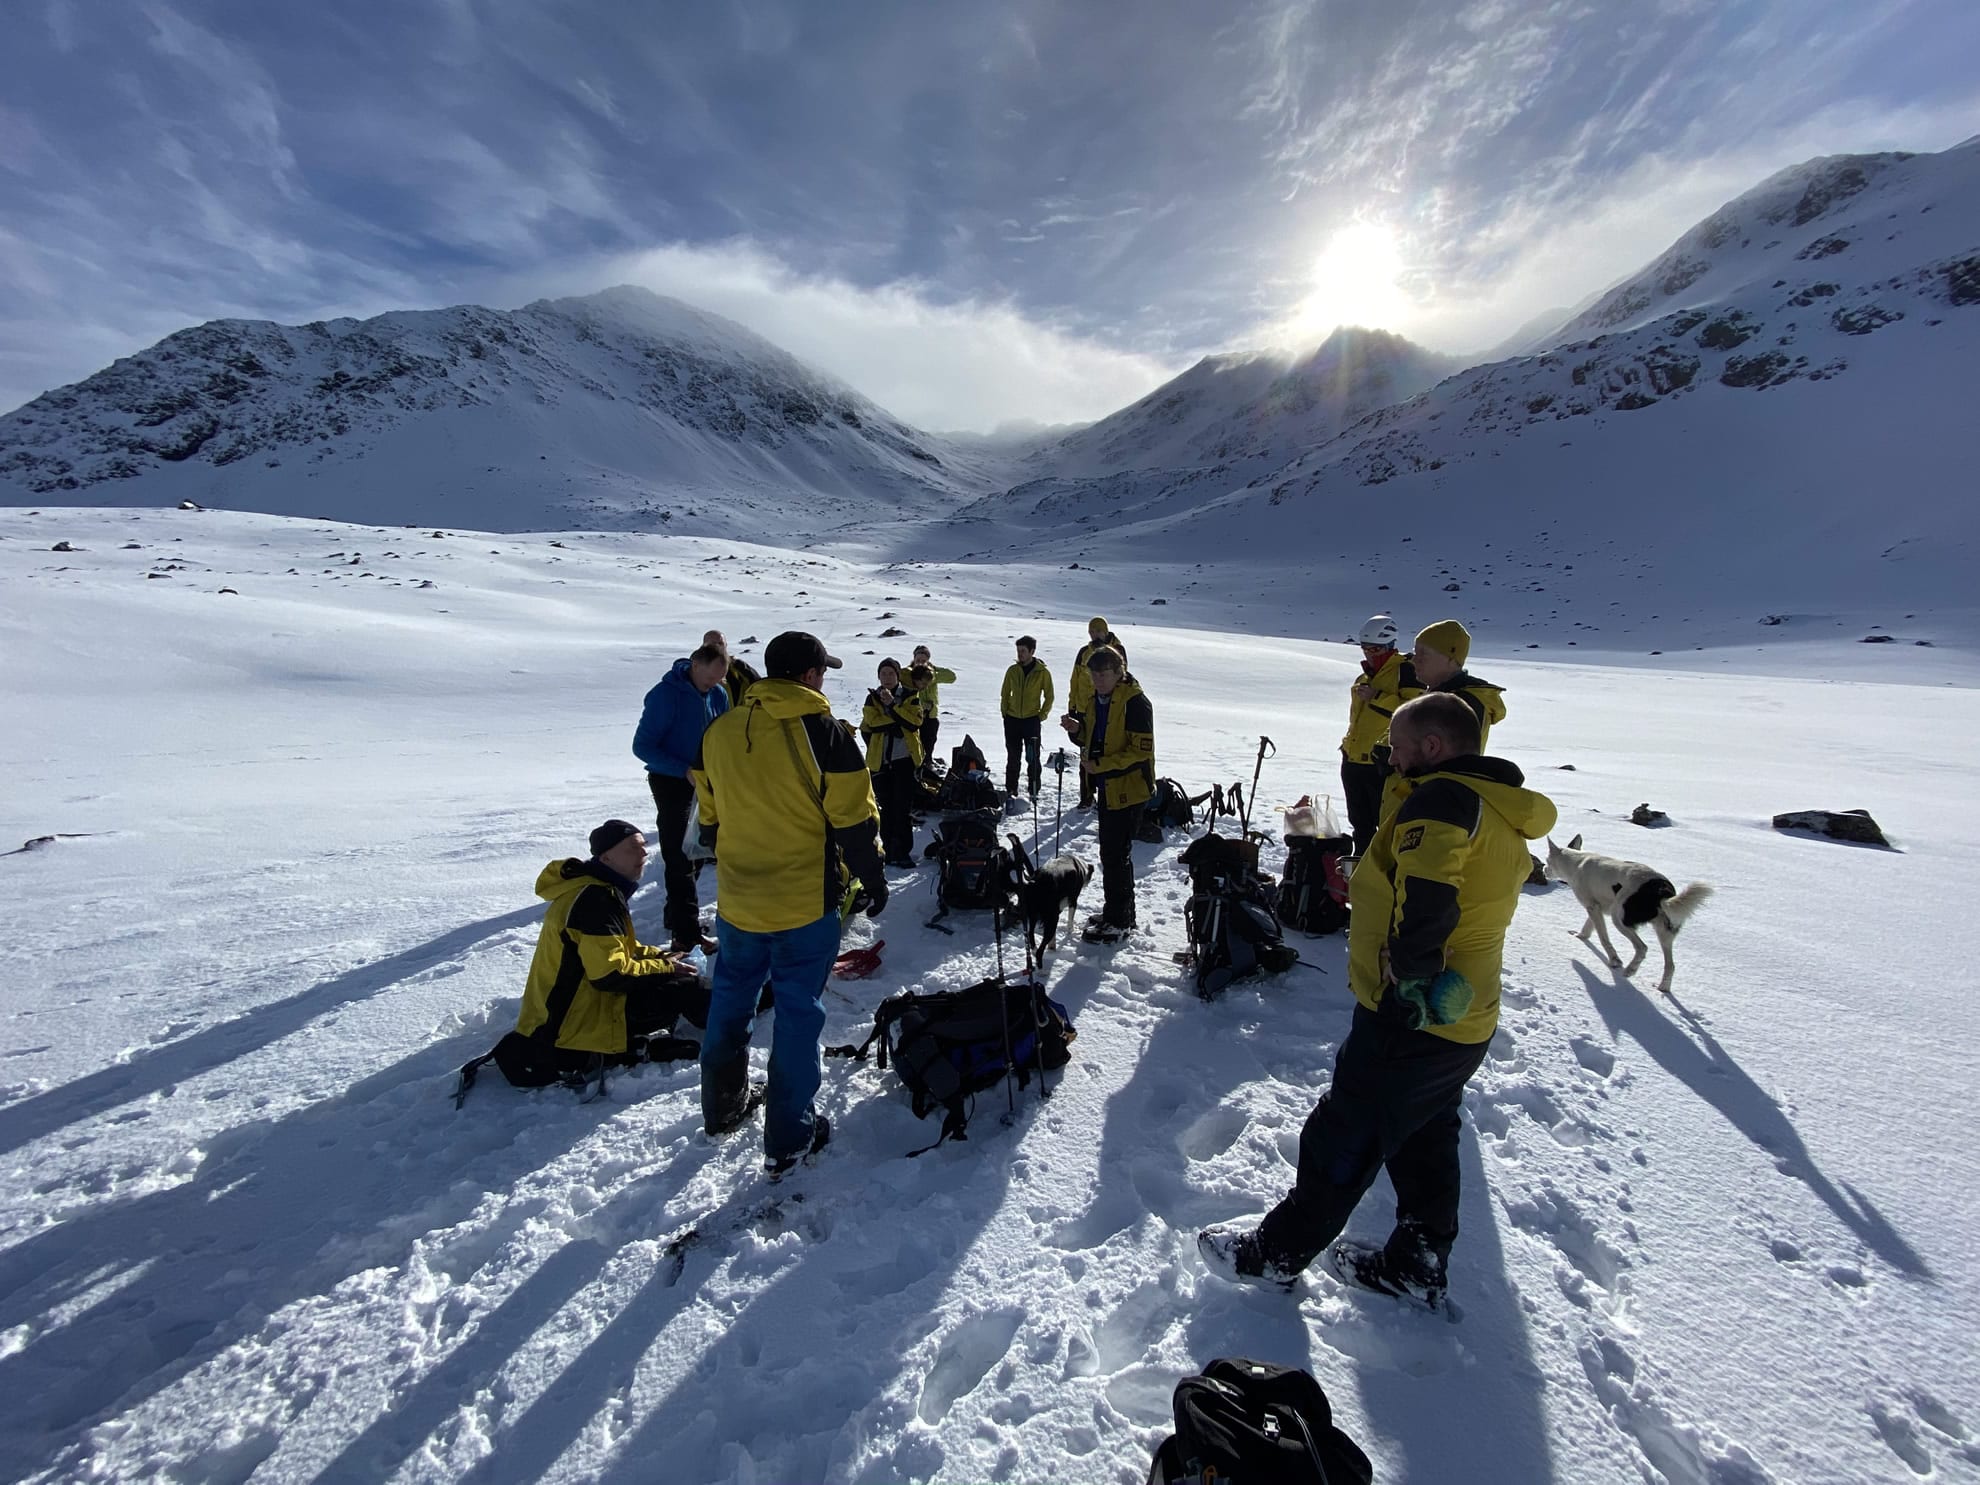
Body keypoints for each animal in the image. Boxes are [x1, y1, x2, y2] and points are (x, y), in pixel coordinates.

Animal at [1536, 839, 1710, 1001]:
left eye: (1547, 860)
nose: (1544, 870)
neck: (1575, 862)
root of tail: (1661, 889)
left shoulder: (1592, 907)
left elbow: (1603, 937)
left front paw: (1614, 960)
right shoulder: (1597, 908)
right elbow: (1589, 927)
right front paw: (1580, 936)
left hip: (1619, 918)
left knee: (1642, 948)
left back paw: (1629, 970)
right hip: (1664, 930)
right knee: (1670, 965)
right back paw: (1663, 988)